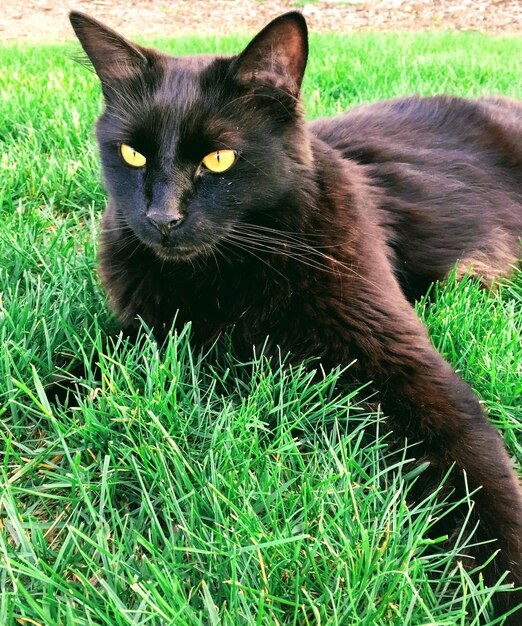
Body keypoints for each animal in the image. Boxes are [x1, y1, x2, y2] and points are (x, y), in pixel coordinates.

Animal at [69, 9, 520, 620]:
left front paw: (505, 583)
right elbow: (76, 367)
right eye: (132, 155)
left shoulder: (400, 360)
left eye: (218, 159)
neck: (224, 275)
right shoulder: (142, 333)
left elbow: (473, 466)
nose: (162, 218)